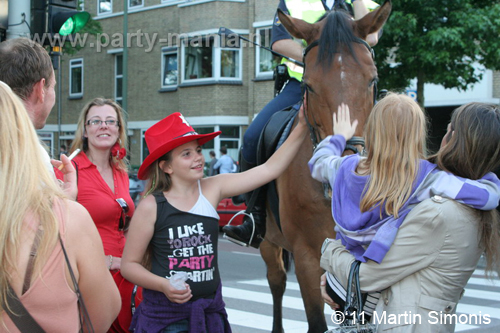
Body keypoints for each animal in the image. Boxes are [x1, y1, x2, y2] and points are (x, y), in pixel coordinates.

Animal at [260, 1, 392, 330]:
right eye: (309, 85)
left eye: (372, 79)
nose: (345, 172)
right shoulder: (308, 257)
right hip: (268, 240)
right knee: (276, 280)